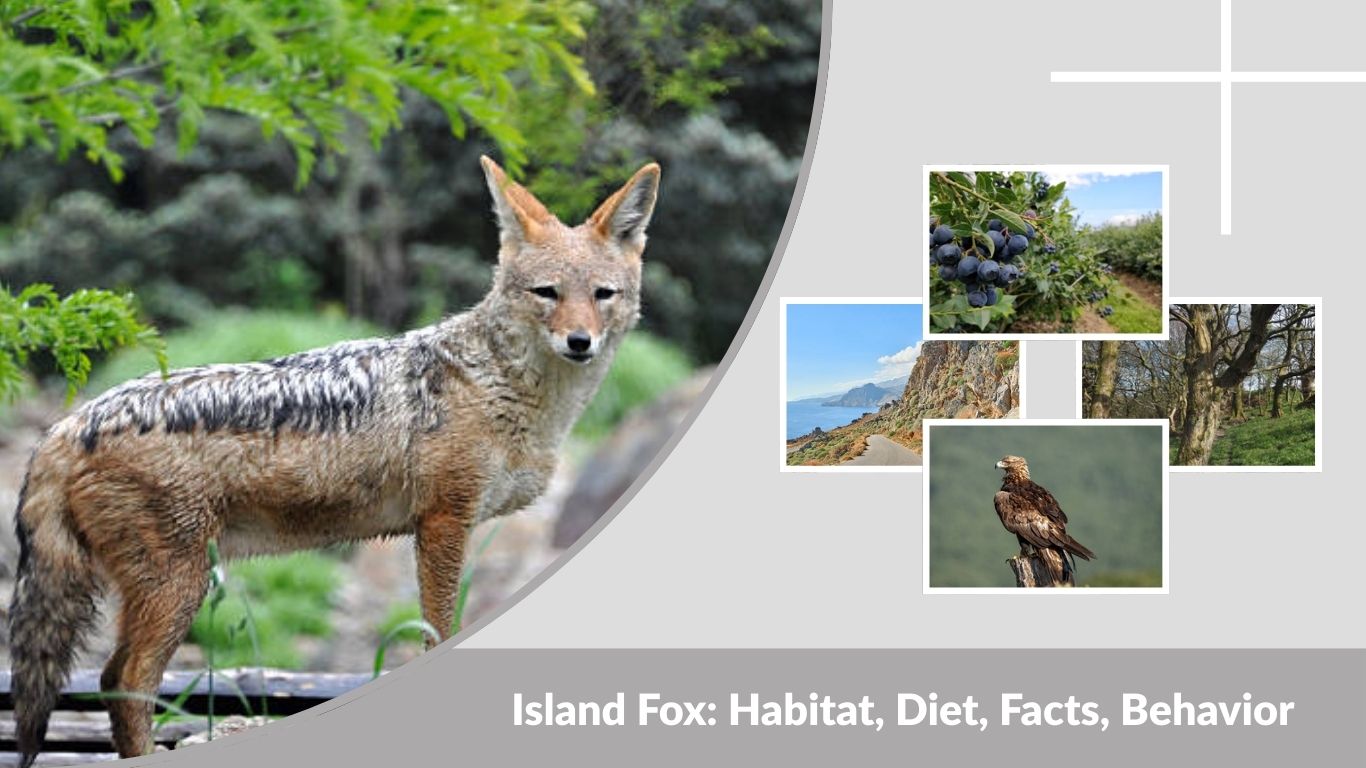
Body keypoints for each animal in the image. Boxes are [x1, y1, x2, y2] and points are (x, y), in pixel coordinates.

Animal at [6, 156, 661, 764]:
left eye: (601, 295)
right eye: (547, 293)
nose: (580, 342)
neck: (501, 388)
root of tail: (66, 424)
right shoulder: (444, 523)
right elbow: (437, 631)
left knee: (113, 679)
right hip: (179, 587)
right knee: (125, 681)